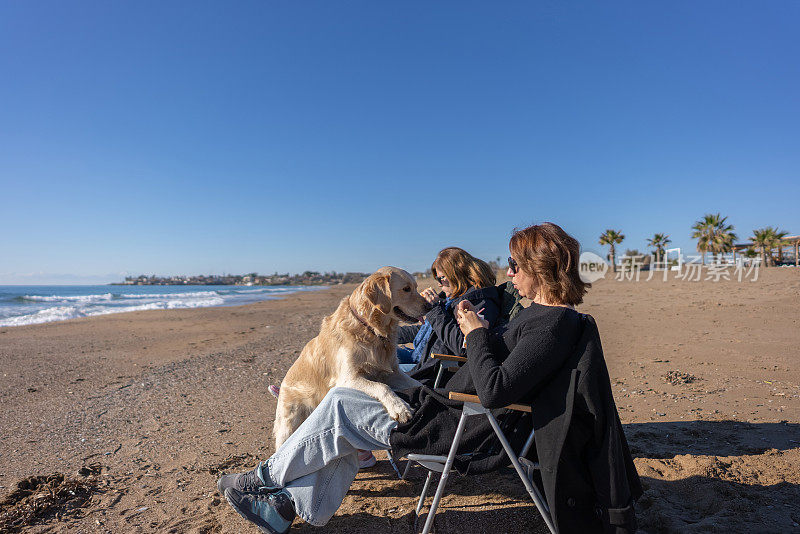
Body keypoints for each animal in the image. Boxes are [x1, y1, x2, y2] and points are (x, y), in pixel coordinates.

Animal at [274, 266, 432, 448]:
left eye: (416, 287)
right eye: (406, 289)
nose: (431, 305)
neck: (371, 330)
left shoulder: (393, 373)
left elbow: (418, 384)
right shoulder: (348, 378)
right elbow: (382, 387)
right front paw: (400, 408)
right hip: (288, 424)